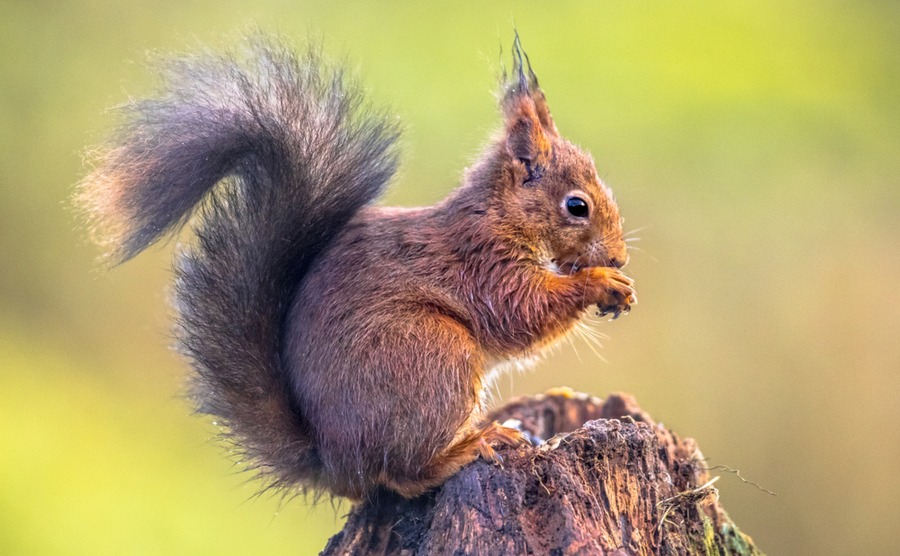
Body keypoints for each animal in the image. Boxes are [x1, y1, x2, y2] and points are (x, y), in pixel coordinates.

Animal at [81, 34, 636, 500]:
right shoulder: (486, 265)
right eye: (577, 206)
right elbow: (525, 312)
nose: (619, 256)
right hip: (432, 354)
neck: (501, 215)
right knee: (404, 474)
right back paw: (473, 445)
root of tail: (334, 464)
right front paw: (602, 283)